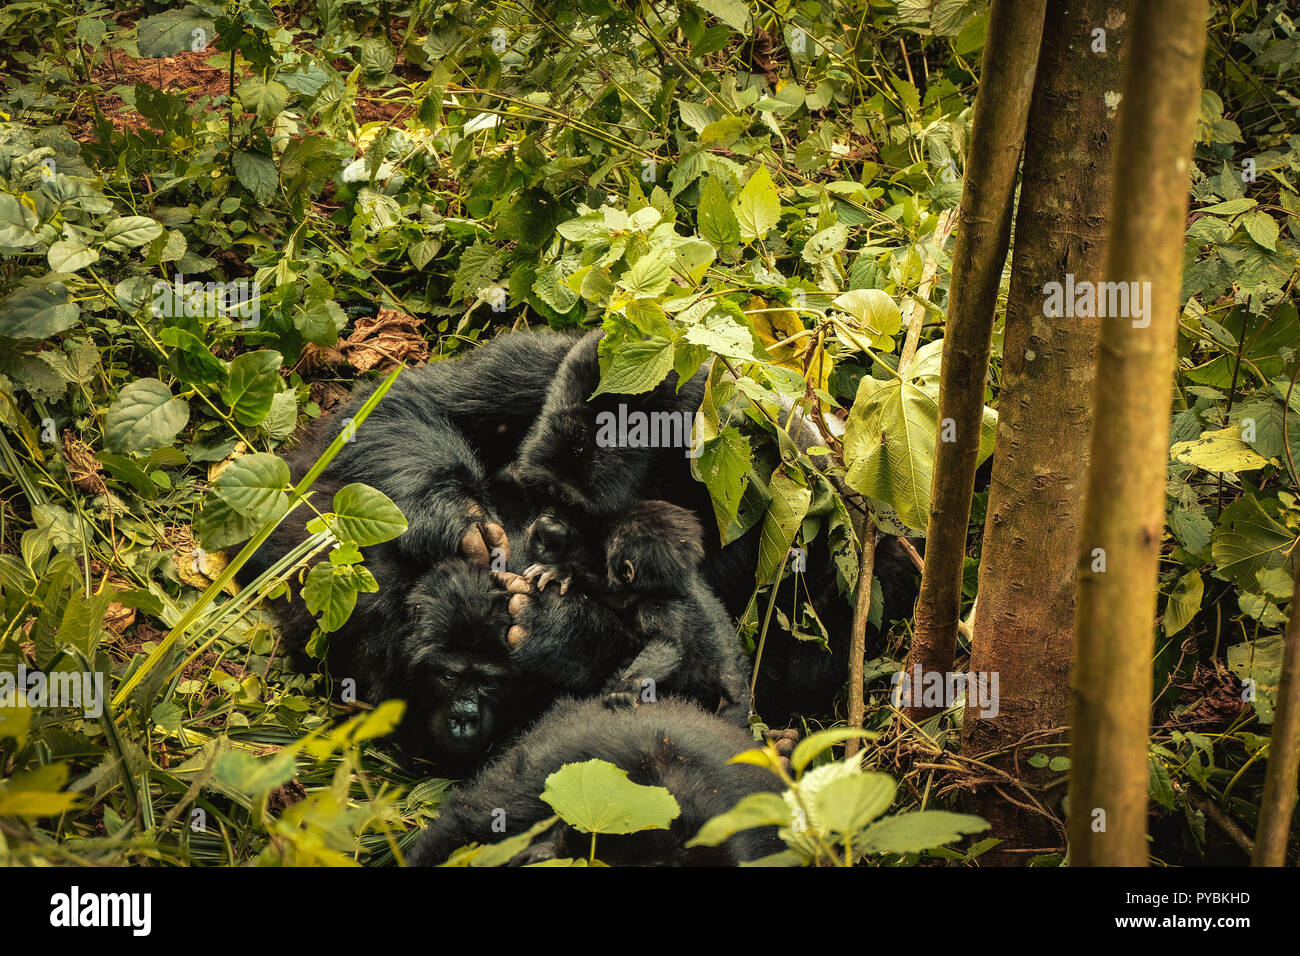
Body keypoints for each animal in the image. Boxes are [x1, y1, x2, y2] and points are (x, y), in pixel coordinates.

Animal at [506, 496, 754, 723]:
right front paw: (564, 571)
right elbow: (616, 594)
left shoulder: (660, 605)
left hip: (736, 703)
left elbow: (666, 645)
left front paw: (625, 690)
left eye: (613, 540)